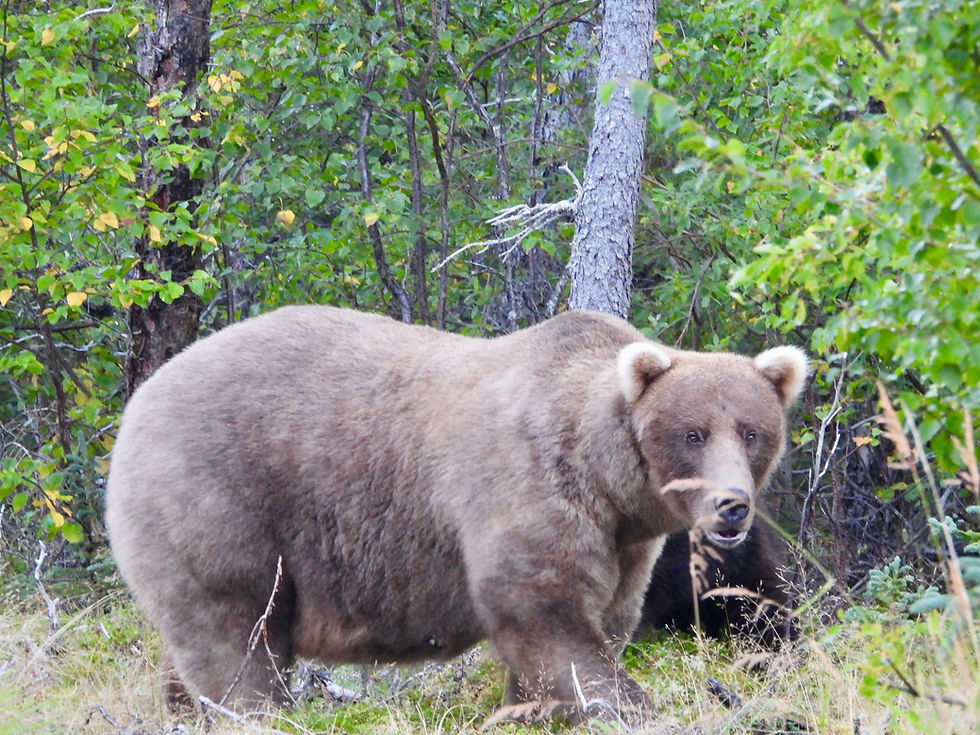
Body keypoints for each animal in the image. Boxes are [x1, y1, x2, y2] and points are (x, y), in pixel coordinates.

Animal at [105, 306, 807, 725]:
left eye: (751, 432)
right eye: (692, 433)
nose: (731, 505)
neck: (606, 479)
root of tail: (141, 396)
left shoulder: (624, 543)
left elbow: (600, 620)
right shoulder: (526, 486)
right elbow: (545, 614)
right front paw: (626, 705)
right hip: (221, 500)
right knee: (237, 640)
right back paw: (257, 711)